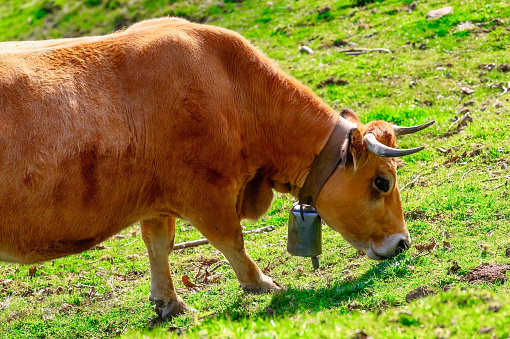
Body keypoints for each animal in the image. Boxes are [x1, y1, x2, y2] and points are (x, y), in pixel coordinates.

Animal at [0, 17, 432, 318]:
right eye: (381, 182)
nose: (402, 243)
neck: (233, 86)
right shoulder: (205, 193)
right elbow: (231, 240)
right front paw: (261, 283)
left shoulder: (156, 200)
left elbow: (158, 246)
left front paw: (169, 303)